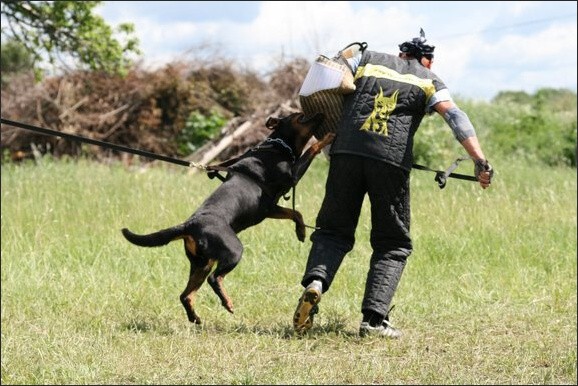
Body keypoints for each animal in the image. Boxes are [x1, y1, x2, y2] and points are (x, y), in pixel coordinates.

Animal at [121, 112, 332, 326]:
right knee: (214, 279)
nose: (320, 113)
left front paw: (301, 232)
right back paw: (227, 302)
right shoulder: (292, 176)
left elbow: (295, 213)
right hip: (233, 251)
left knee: (186, 295)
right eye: (300, 115)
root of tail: (189, 225)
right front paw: (328, 138)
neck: (279, 146)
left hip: (201, 263)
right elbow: (311, 149)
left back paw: (195, 318)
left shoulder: (269, 208)